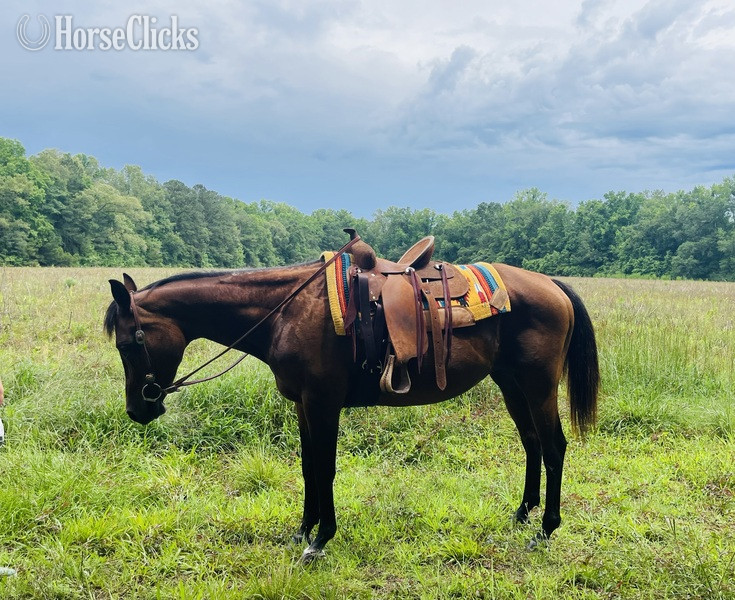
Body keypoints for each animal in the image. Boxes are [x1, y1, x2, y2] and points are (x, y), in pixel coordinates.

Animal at [104, 245, 599, 561]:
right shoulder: (302, 404)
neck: (285, 312)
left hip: (538, 385)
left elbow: (325, 468)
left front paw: (320, 539)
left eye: (128, 344)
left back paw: (545, 529)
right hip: (511, 383)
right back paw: (522, 514)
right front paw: (302, 529)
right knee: (532, 442)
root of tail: (551, 285)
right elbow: (308, 466)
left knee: (553, 447)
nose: (138, 410)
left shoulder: (322, 403)